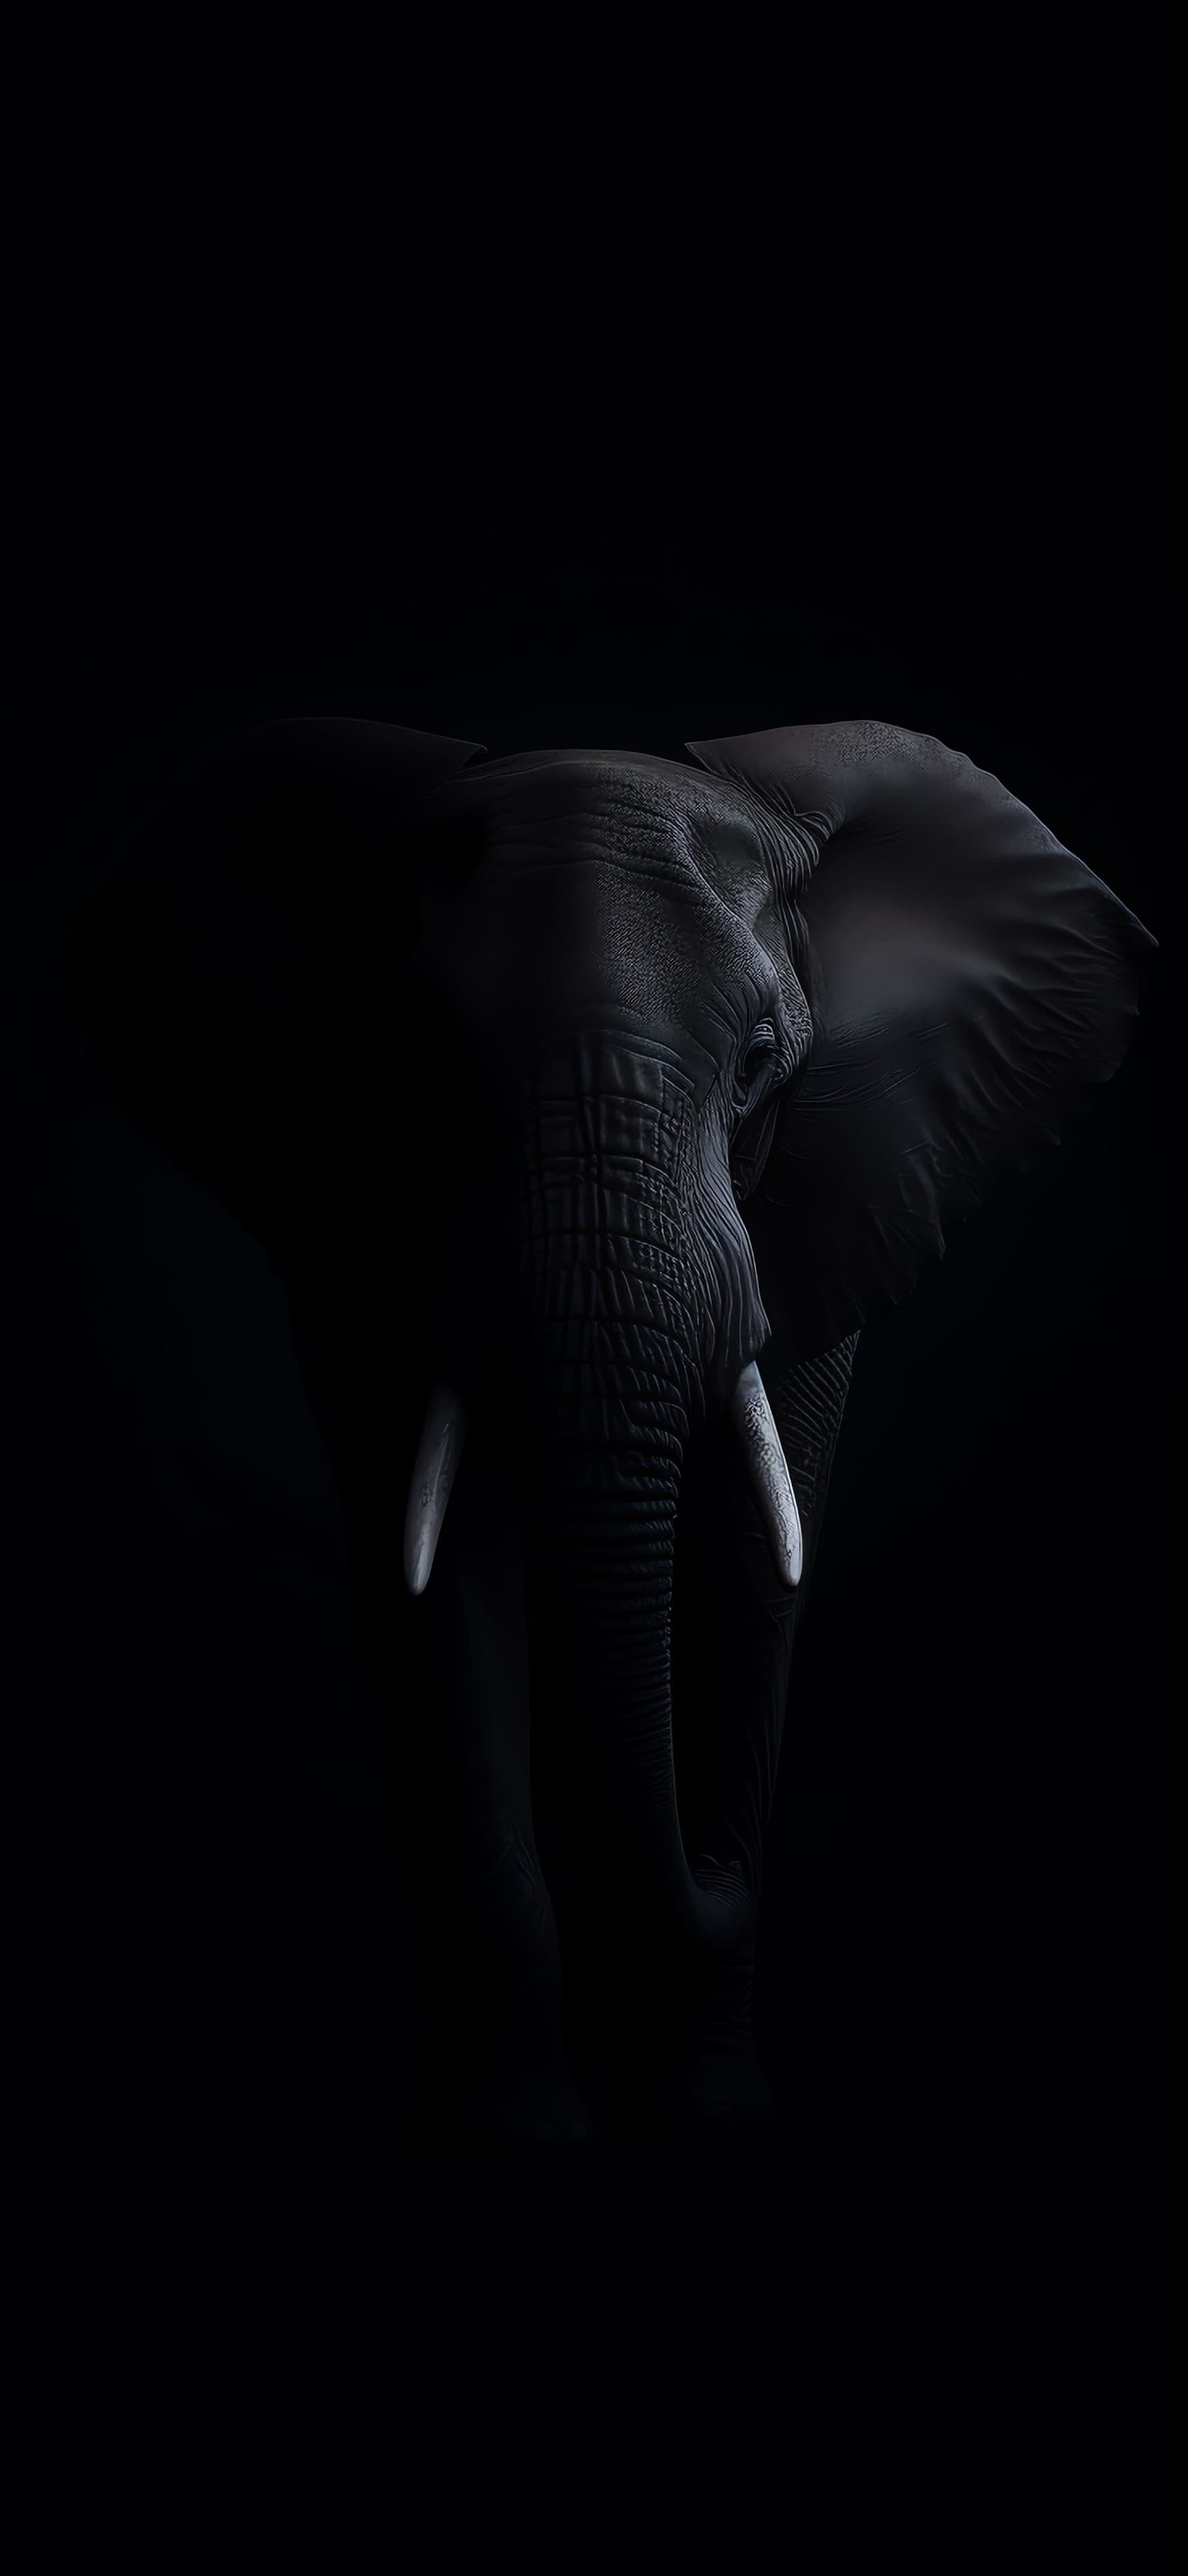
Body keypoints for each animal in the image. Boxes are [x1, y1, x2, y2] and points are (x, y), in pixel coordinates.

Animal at [64, 712, 1156, 2147]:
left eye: (757, 1063)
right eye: (421, 1072)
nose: (720, 1860)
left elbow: (755, 1561)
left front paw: (713, 2112)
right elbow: (446, 1583)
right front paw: (521, 2129)